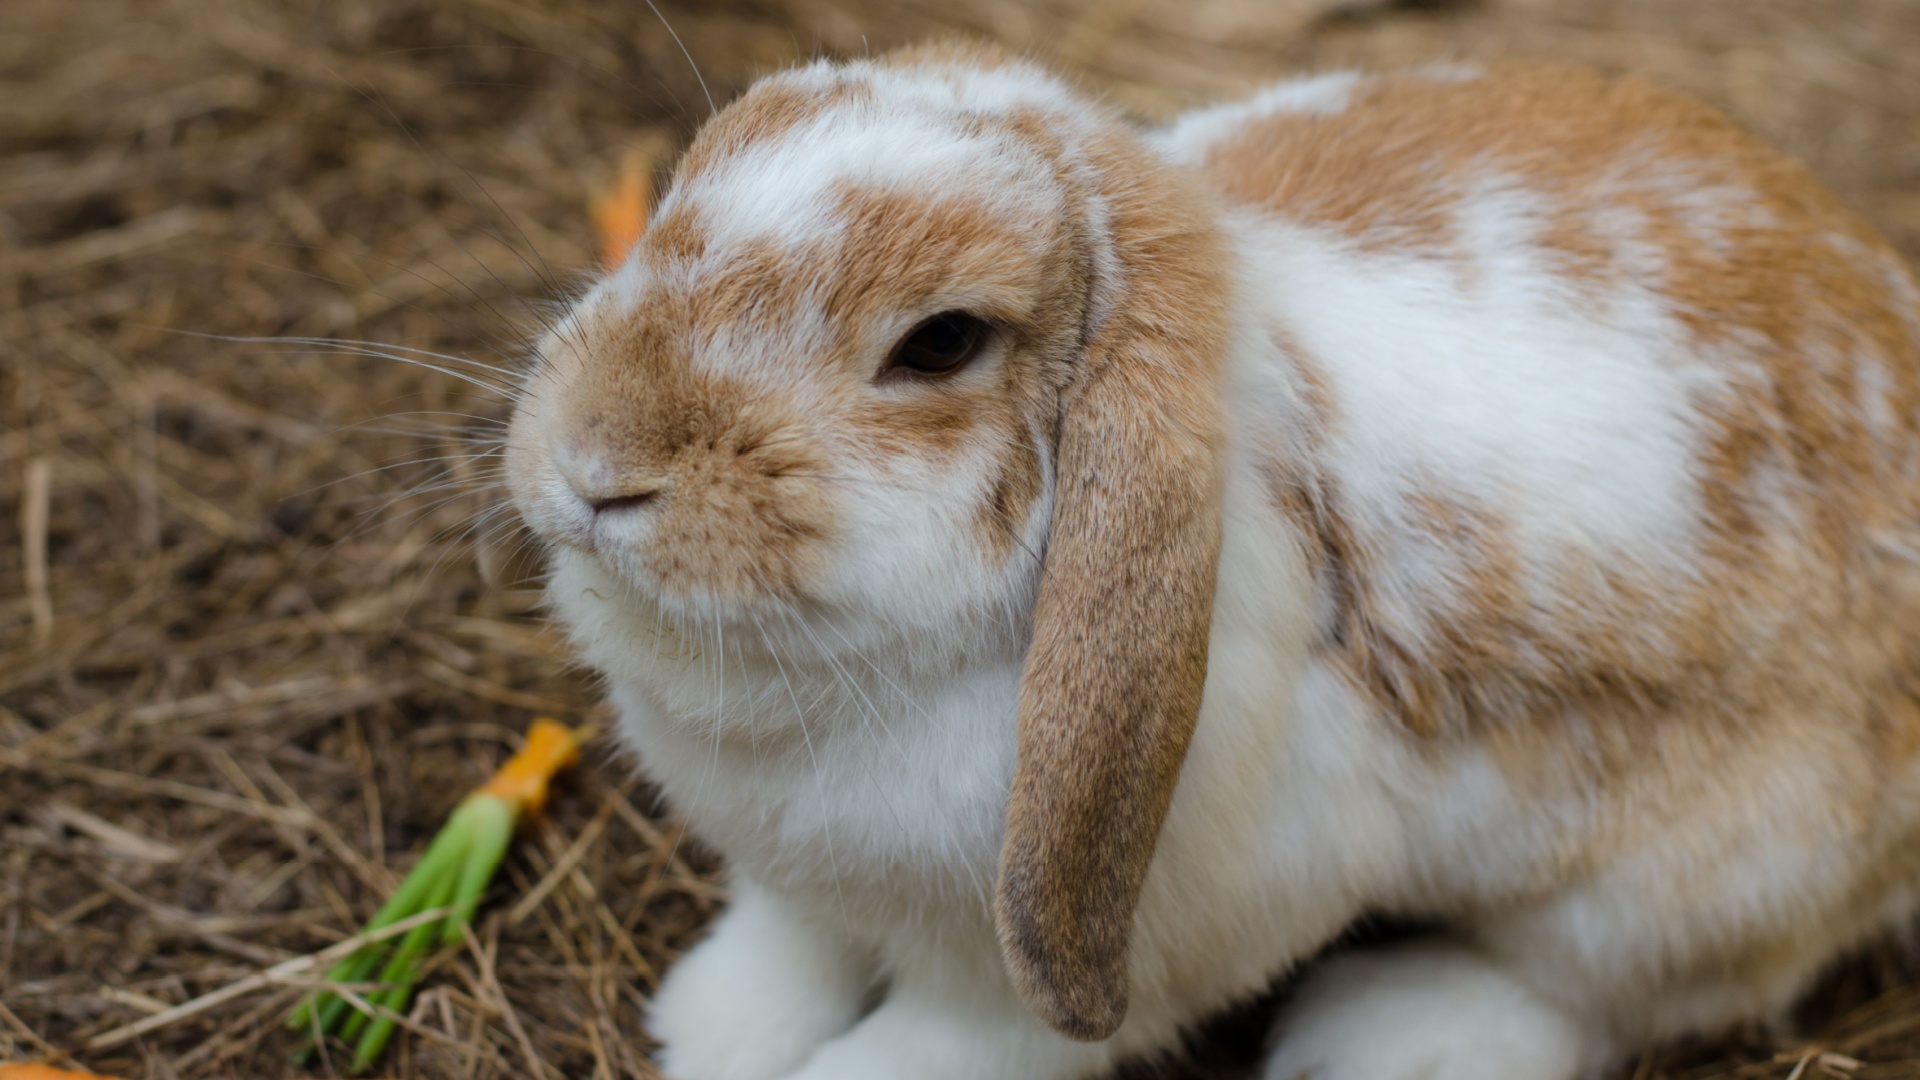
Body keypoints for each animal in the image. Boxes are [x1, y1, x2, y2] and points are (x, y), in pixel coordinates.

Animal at [504, 41, 1920, 1080]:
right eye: (676, 197)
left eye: (942, 342)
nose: (593, 463)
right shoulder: (788, 881)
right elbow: (785, 947)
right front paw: (710, 1030)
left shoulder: (1037, 978)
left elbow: (947, 1044)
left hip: (1683, 888)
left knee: (1597, 997)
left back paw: (1385, 1037)